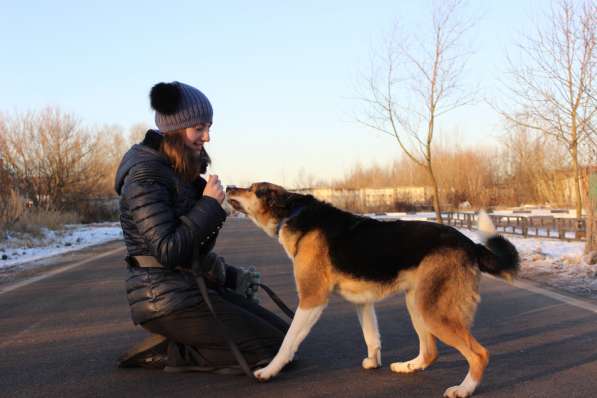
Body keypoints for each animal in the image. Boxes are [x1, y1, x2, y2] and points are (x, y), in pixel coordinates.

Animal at [226, 183, 520, 398]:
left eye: (254, 189)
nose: (228, 186)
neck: (293, 213)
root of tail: (471, 245)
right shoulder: (363, 302)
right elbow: (371, 337)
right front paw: (373, 362)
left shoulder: (312, 299)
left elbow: (288, 342)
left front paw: (269, 370)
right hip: (416, 303)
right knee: (430, 352)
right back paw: (408, 366)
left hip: (431, 310)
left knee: (479, 354)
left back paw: (464, 389)